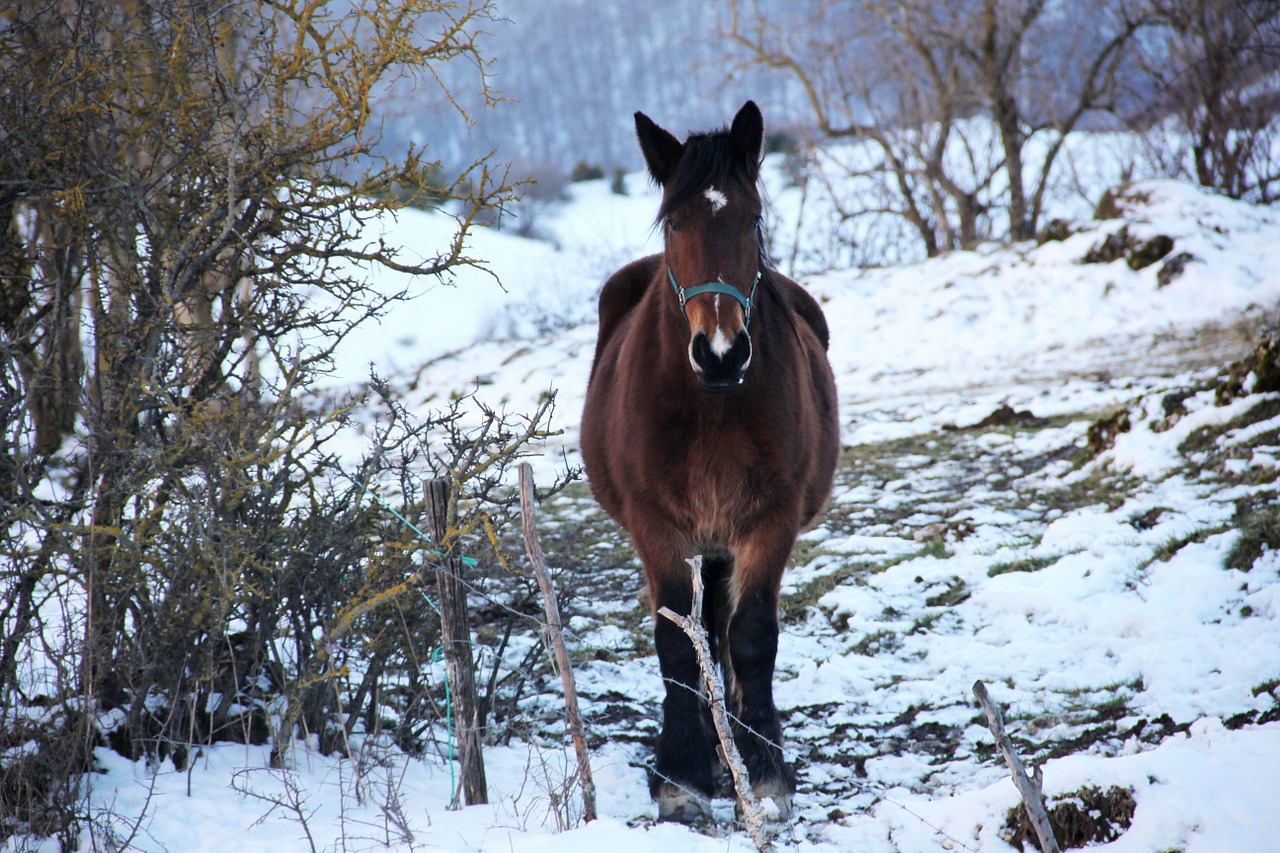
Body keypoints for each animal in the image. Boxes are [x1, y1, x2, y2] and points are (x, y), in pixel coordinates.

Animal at [581, 101, 839, 819]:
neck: (713, 406)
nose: (721, 352)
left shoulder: (770, 520)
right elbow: (675, 643)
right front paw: (682, 774)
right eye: (674, 221)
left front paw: (763, 766)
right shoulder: (656, 526)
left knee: (721, 632)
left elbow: (751, 637)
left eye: (752, 218)